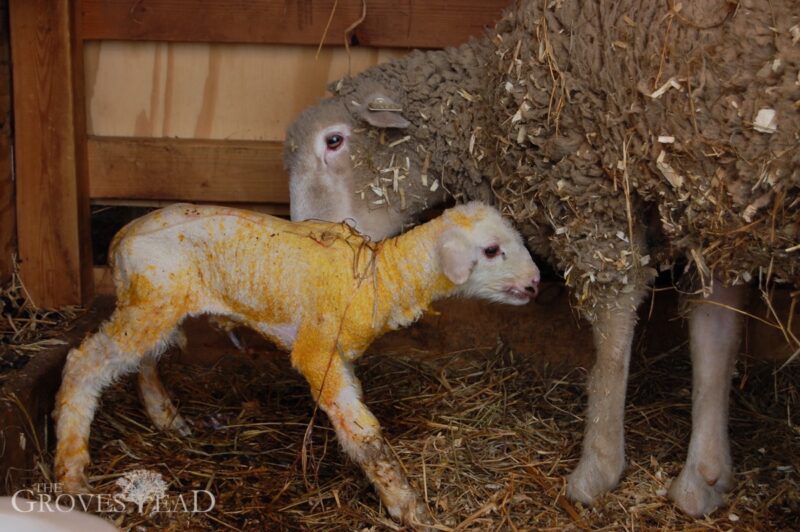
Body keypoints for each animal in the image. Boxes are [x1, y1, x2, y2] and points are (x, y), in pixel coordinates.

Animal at [53, 202, 540, 524]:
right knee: (84, 364)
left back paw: (167, 418)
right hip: (151, 301)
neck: (379, 280)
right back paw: (73, 473)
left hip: (158, 305)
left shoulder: (338, 355)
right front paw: (409, 508)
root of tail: (120, 240)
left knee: (143, 359)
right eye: (492, 250)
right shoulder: (317, 350)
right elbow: (364, 435)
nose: (536, 284)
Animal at [282, 0, 800, 516]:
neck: (487, 101)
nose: (310, 244)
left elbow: (614, 334)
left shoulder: (593, 193)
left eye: (334, 141)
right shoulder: (718, 208)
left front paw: (598, 470)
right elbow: (716, 334)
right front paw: (704, 476)